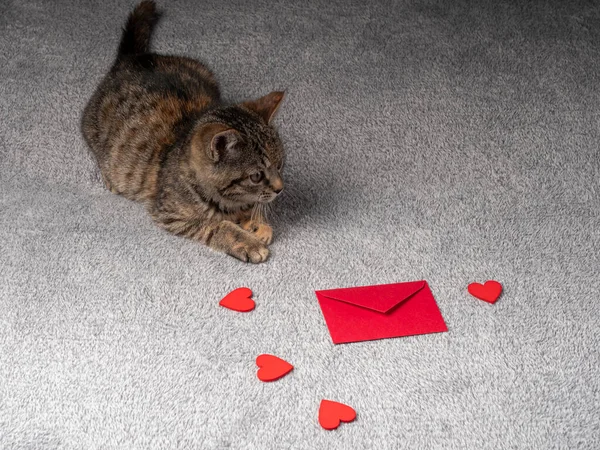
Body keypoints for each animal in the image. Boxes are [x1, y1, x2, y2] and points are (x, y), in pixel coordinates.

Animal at [82, 0, 286, 262]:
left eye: (280, 165)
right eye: (256, 176)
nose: (280, 189)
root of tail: (134, 58)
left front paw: (257, 223)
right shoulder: (174, 215)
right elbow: (216, 226)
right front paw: (246, 240)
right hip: (94, 132)